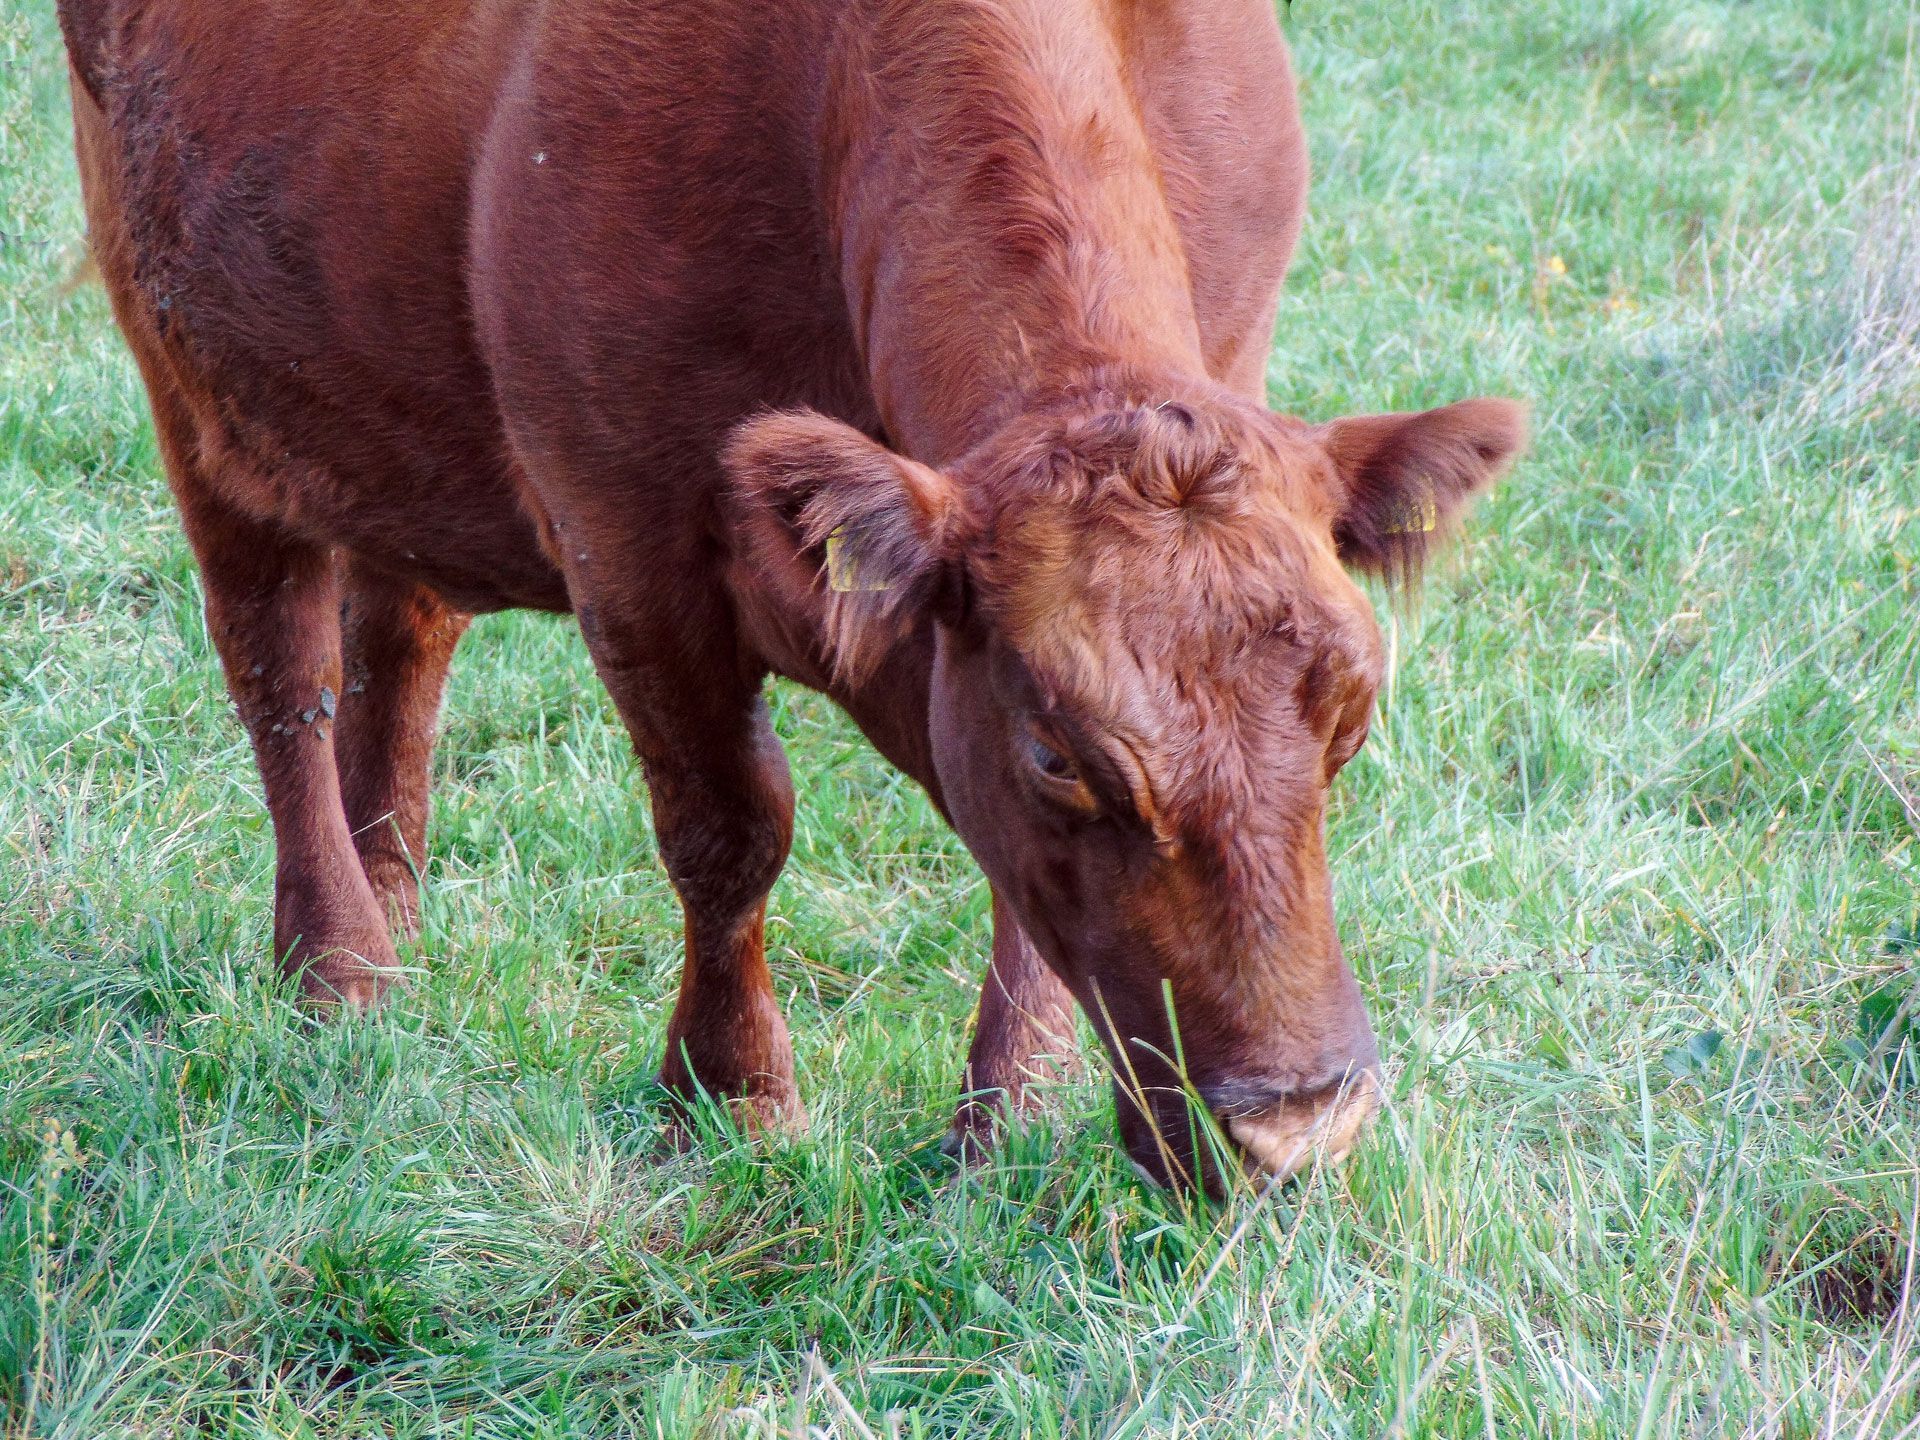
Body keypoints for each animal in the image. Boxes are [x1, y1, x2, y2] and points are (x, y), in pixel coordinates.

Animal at [57, 0, 1524, 1192]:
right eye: (1059, 753)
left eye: (1351, 718)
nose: (1299, 1122)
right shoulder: (629, 535)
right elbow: (728, 830)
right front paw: (732, 1097)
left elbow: (1007, 881)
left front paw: (1007, 1112)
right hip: (189, 369)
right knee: (279, 669)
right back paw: (340, 971)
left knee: (399, 631)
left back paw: (393, 909)